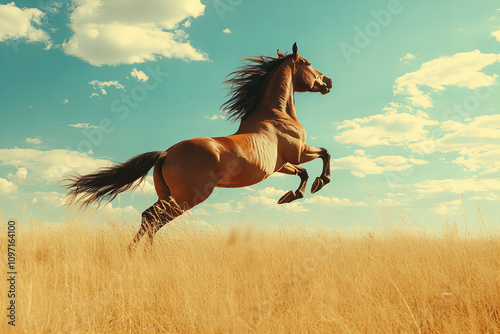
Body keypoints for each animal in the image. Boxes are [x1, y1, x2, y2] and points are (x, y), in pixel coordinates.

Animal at [65, 42, 332, 250]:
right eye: (307, 62)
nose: (328, 81)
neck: (275, 115)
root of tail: (166, 154)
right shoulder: (298, 152)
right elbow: (324, 154)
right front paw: (319, 183)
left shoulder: (282, 164)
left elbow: (302, 172)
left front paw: (289, 196)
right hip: (188, 197)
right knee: (154, 219)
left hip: (168, 195)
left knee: (149, 217)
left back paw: (135, 253)